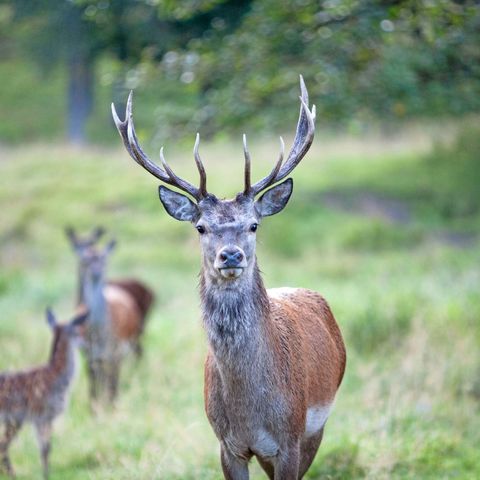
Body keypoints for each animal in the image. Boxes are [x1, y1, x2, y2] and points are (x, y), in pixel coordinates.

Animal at [0, 306, 88, 478]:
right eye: (77, 331)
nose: (86, 342)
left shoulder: (39, 419)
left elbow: (44, 448)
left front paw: (46, 473)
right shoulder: (44, 415)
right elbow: (47, 449)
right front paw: (47, 475)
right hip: (14, 420)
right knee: (3, 446)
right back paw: (12, 475)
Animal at [65, 229, 155, 404]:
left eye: (103, 258)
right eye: (86, 259)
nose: (95, 271)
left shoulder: (116, 353)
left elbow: (113, 390)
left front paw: (112, 408)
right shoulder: (89, 355)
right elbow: (93, 392)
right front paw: (94, 408)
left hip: (137, 334)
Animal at [112, 77, 344, 478]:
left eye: (254, 224)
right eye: (201, 227)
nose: (231, 254)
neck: (249, 413)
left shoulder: (291, 439)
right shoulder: (227, 444)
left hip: (318, 425)